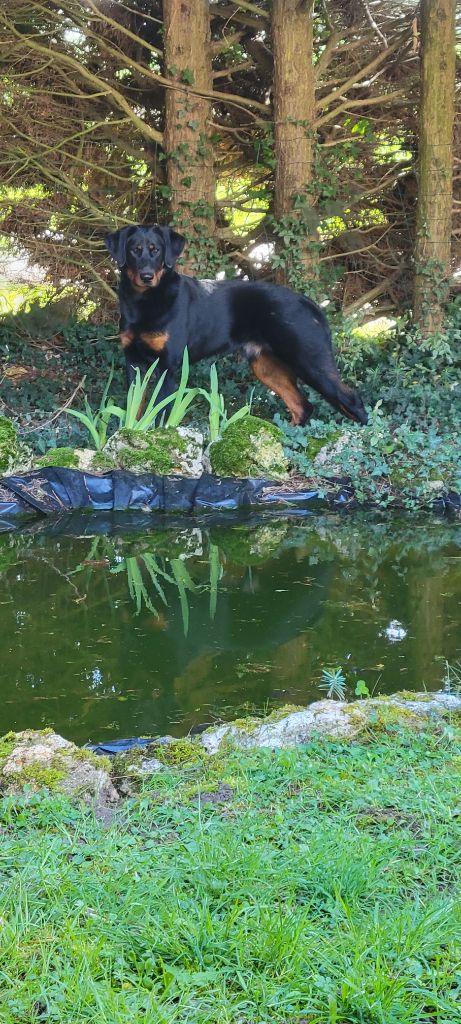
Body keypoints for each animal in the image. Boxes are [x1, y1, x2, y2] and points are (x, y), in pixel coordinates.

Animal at [103, 224, 366, 428]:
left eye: (155, 250)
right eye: (134, 250)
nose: (147, 276)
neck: (144, 301)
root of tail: (308, 302)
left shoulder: (169, 364)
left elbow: (160, 409)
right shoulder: (133, 361)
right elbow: (135, 405)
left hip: (309, 358)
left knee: (352, 399)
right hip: (266, 366)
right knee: (303, 406)